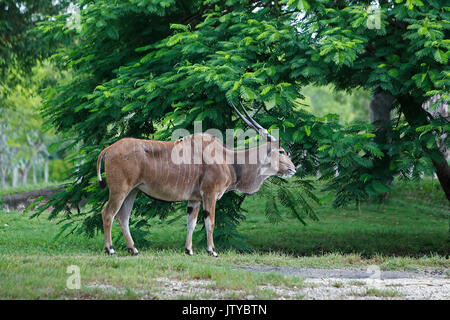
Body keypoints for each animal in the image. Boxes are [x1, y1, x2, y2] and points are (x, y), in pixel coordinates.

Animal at [96, 102, 298, 258]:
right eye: (282, 151)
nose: (293, 169)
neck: (228, 159)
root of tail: (109, 148)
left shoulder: (194, 199)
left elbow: (191, 223)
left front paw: (189, 250)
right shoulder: (209, 194)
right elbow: (210, 222)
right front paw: (212, 251)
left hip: (133, 191)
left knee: (123, 216)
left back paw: (133, 249)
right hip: (120, 190)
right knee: (108, 213)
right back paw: (110, 249)